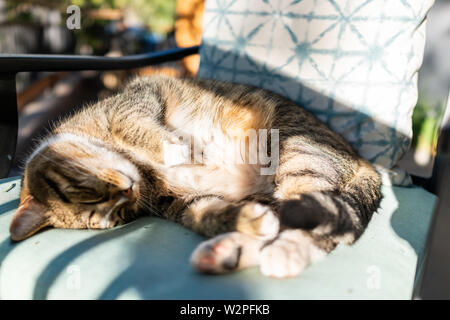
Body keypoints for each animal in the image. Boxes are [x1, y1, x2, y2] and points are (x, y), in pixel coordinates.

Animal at [8, 75, 380, 278]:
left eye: (84, 188)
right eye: (113, 219)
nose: (128, 192)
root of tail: (365, 162)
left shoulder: (135, 102)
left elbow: (138, 128)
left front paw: (181, 153)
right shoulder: (179, 203)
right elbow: (206, 214)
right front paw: (245, 219)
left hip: (298, 151)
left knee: (320, 223)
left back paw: (280, 254)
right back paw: (223, 254)